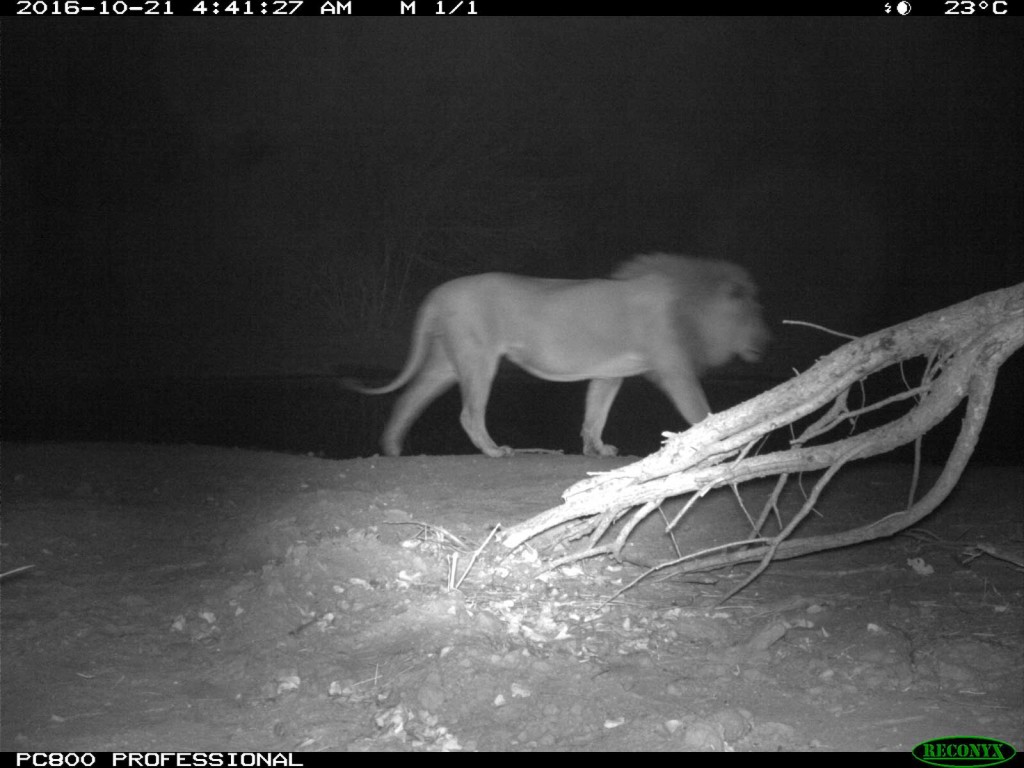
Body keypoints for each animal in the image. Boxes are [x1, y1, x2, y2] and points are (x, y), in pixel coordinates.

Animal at [346, 253, 770, 456]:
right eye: (753, 314)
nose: (767, 341)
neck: (690, 304)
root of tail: (439, 292)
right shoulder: (674, 367)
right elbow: (701, 412)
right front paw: (723, 443)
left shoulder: (610, 372)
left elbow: (595, 415)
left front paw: (596, 449)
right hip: (478, 358)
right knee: (468, 412)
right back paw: (495, 450)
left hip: (446, 363)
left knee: (409, 398)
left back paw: (392, 447)